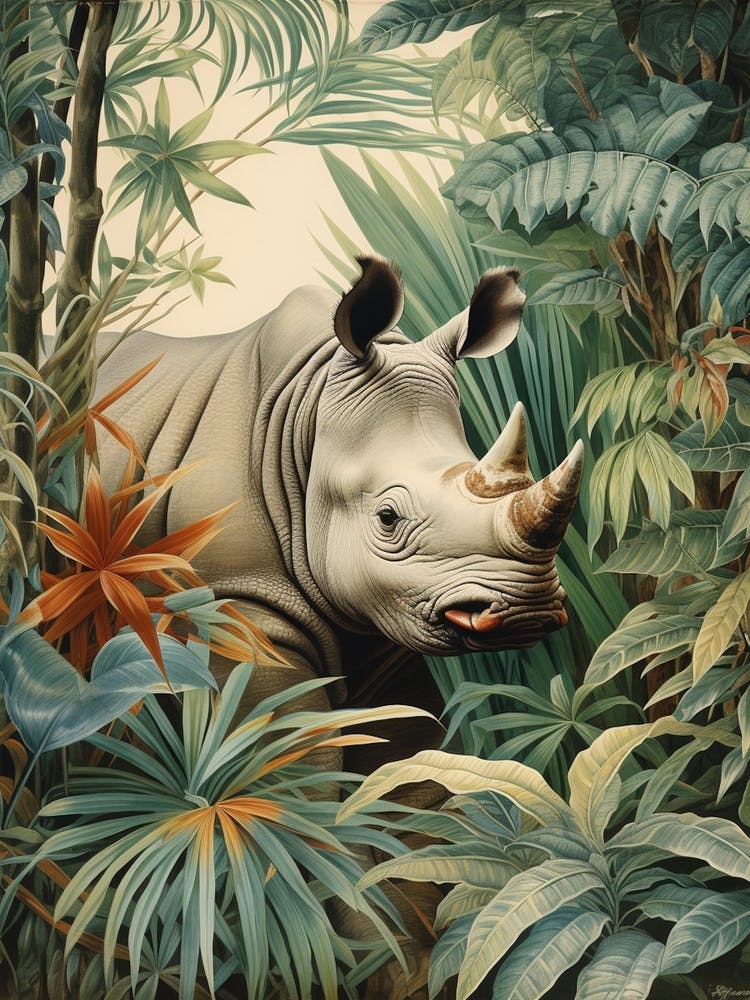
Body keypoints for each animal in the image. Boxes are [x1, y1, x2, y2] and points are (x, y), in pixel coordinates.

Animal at [96, 257, 582, 741]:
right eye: (387, 517)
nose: (528, 609)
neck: (301, 415)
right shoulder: (236, 601)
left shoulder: (385, 619)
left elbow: (402, 736)